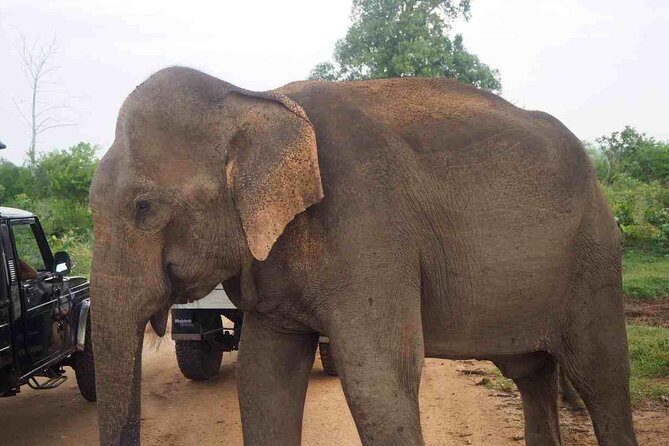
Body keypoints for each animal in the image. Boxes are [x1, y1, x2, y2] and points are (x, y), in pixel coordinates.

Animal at [89, 66, 638, 446]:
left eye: (143, 207)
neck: (255, 99)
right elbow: (263, 375)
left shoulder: (368, 224)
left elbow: (377, 374)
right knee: (532, 374)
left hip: (594, 253)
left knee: (601, 375)